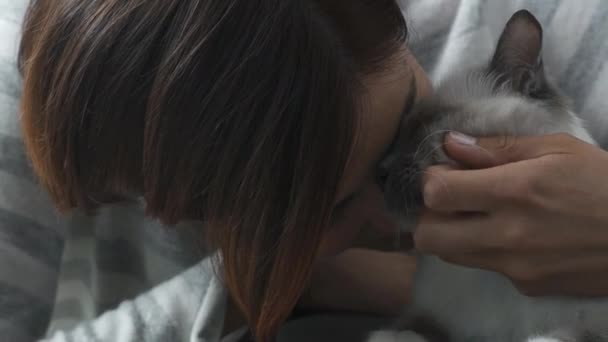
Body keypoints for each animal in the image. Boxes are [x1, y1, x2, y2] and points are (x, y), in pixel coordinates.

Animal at [366, 9, 608, 342]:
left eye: (423, 124)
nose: (379, 171)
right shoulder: (430, 318)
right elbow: (402, 331)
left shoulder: (589, 327)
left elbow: (554, 335)